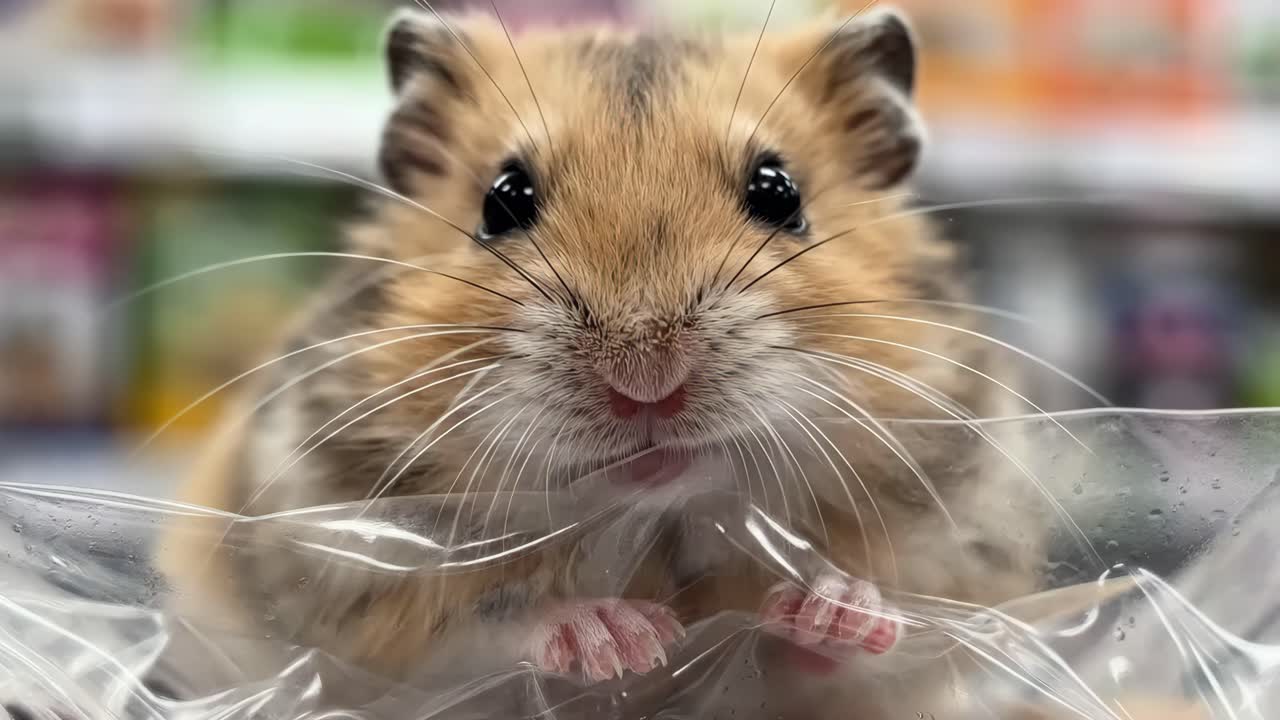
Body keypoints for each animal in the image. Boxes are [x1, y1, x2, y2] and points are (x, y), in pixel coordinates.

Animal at [156, 7, 1049, 714]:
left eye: (779, 192)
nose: (645, 380)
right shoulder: (343, 570)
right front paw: (627, 639)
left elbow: (841, 652)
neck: (659, 519)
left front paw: (834, 608)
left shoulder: (953, 563)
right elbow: (480, 617)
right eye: (504, 200)